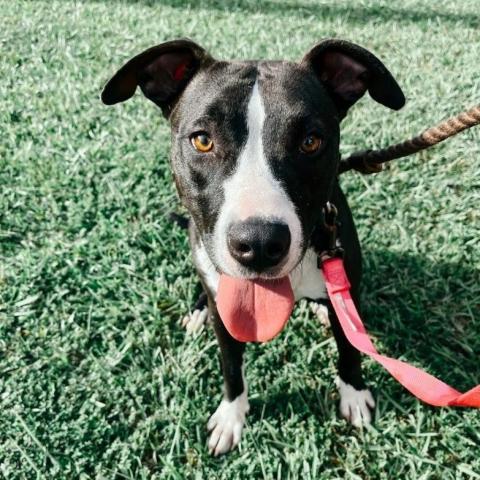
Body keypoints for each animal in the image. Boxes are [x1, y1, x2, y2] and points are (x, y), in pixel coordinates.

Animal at [102, 39, 404, 456]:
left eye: (311, 141)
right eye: (202, 140)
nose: (259, 243)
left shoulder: (348, 287)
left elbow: (350, 349)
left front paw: (354, 395)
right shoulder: (226, 316)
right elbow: (231, 368)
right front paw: (232, 417)